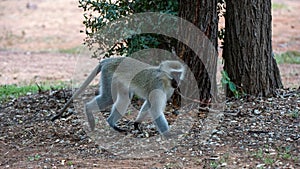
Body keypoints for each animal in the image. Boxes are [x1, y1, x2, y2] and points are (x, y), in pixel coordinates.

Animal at [53, 57, 186, 136]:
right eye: (173, 74)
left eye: (179, 74)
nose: (177, 82)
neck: (163, 79)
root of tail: (108, 60)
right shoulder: (156, 86)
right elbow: (155, 109)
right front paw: (168, 134)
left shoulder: (168, 89)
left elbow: (148, 104)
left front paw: (137, 123)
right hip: (108, 75)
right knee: (108, 98)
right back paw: (88, 110)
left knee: (124, 99)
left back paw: (112, 124)